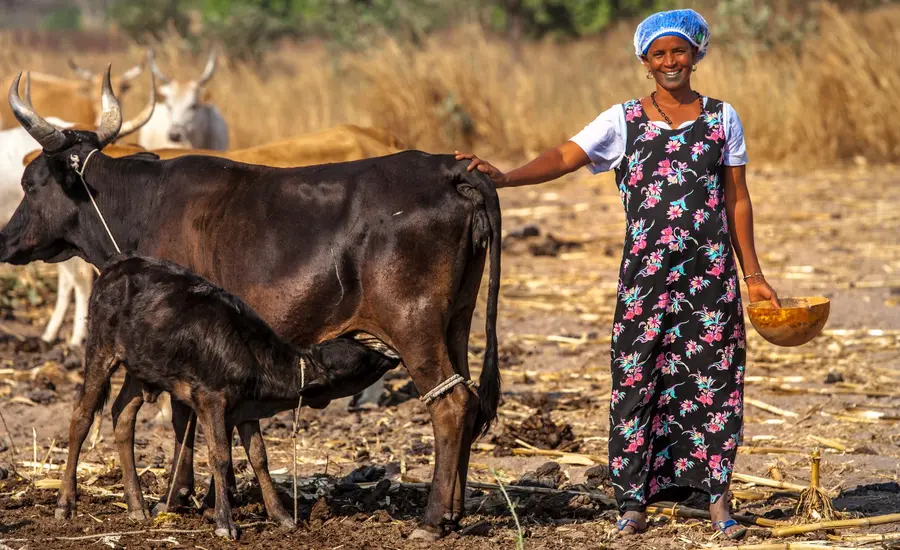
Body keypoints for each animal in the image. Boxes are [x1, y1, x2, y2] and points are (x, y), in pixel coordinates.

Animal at [58, 254, 402, 539]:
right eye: (361, 359)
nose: (390, 355)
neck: (252, 357)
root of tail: (116, 266)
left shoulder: (246, 409)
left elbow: (259, 457)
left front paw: (281, 516)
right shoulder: (211, 400)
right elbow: (220, 457)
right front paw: (225, 522)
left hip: (140, 369)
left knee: (123, 416)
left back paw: (136, 505)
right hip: (101, 349)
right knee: (81, 416)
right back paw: (66, 503)